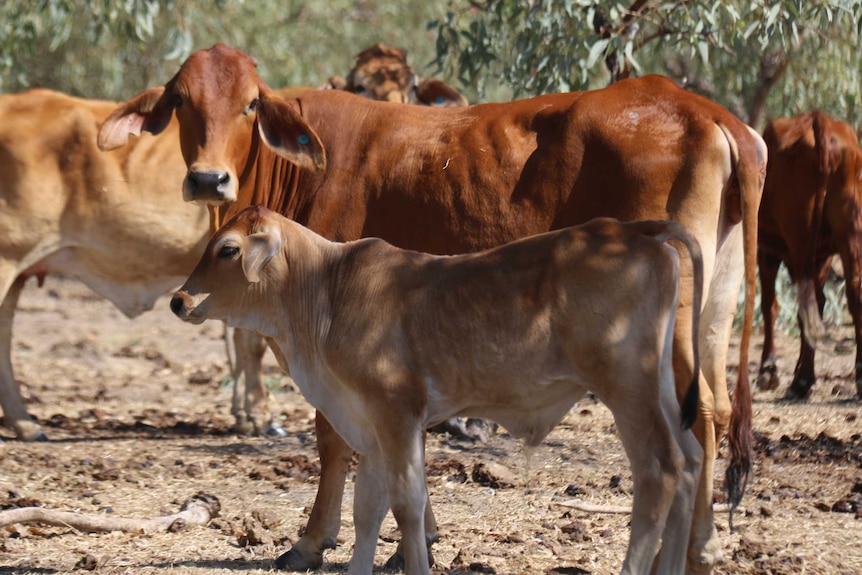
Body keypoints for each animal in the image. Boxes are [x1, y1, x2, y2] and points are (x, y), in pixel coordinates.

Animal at [174, 206, 708, 575]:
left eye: (227, 249)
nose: (180, 300)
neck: (327, 290)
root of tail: (634, 229)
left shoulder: (397, 413)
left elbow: (408, 505)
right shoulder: (368, 426)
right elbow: (367, 509)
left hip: (627, 388)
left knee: (661, 471)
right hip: (660, 388)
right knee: (691, 462)